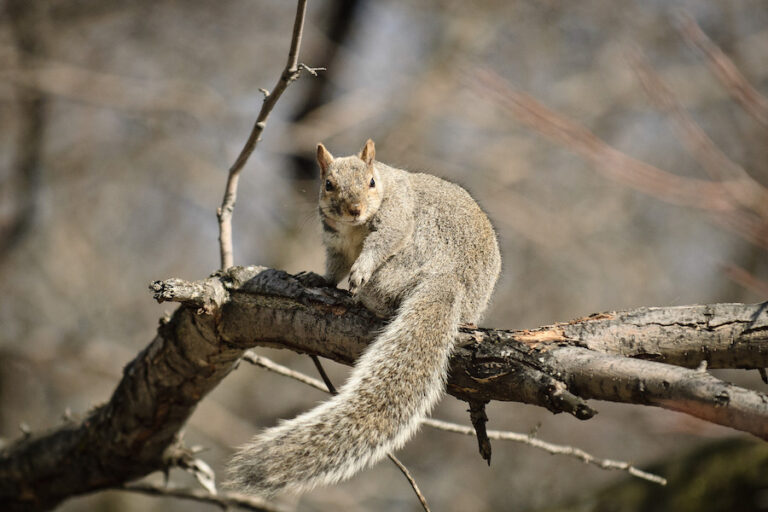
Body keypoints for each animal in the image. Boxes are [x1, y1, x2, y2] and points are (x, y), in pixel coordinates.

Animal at [228, 139, 501, 497]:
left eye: (371, 182)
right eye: (328, 184)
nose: (355, 209)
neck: (356, 227)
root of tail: (450, 277)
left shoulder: (395, 217)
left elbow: (377, 246)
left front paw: (358, 272)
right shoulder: (337, 243)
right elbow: (335, 267)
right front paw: (320, 279)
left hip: (406, 257)